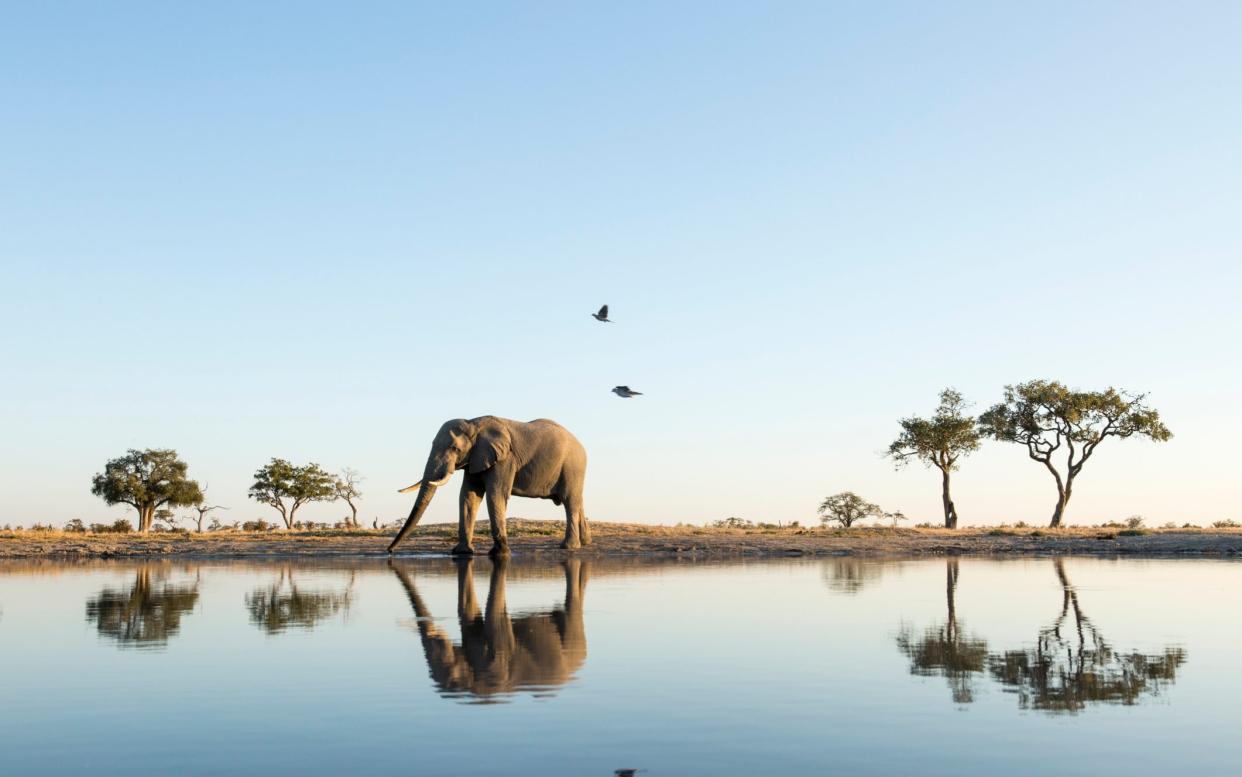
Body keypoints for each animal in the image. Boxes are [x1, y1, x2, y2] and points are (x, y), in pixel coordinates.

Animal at [387, 414, 591, 553]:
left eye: (454, 448)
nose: (389, 551)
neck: (473, 423)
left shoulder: (504, 459)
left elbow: (496, 494)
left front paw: (500, 553)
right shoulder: (474, 459)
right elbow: (468, 496)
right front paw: (462, 552)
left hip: (573, 466)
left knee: (569, 501)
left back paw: (569, 547)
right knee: (577, 501)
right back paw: (585, 542)